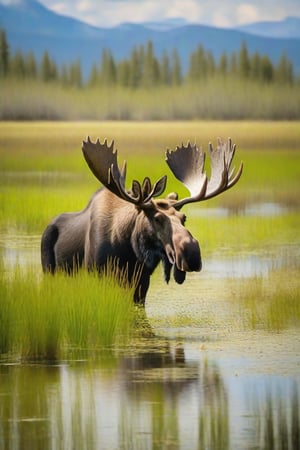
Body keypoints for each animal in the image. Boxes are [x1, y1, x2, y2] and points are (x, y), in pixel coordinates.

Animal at [41, 137, 243, 304]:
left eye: (183, 218)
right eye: (157, 218)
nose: (192, 254)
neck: (128, 251)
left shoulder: (141, 283)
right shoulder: (96, 275)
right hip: (49, 271)